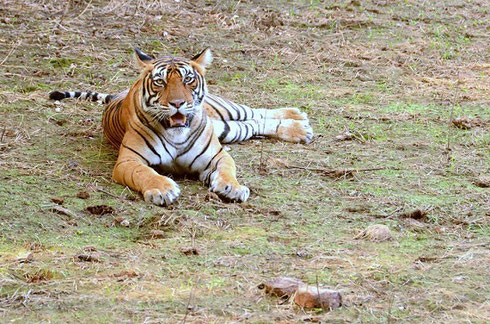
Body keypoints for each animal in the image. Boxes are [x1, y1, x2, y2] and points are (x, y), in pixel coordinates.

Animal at [49, 48, 314, 205]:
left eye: (188, 80)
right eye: (160, 82)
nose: (178, 103)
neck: (175, 133)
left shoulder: (217, 156)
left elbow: (228, 170)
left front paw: (232, 187)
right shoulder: (128, 161)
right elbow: (144, 173)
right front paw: (162, 189)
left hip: (225, 111)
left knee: (255, 113)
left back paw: (298, 119)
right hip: (226, 128)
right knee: (250, 124)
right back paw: (300, 126)